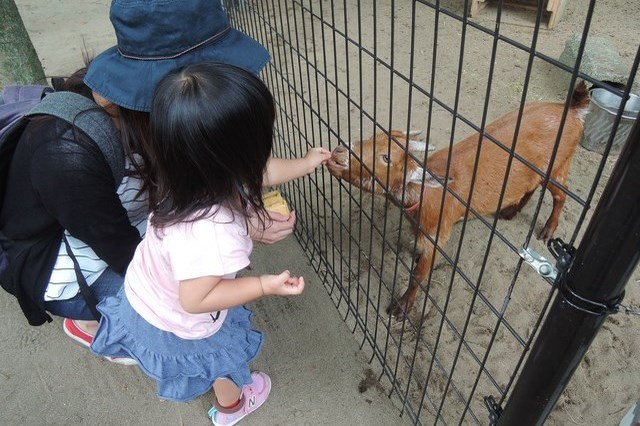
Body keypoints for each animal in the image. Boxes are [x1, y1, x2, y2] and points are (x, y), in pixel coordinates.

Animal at [330, 84, 592, 320]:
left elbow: (418, 275)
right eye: (373, 137)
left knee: (560, 196)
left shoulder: (437, 235)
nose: (338, 152)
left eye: (386, 158)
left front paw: (401, 308)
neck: (427, 193)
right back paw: (510, 212)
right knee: (531, 187)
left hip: (558, 166)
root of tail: (573, 111)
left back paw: (547, 230)